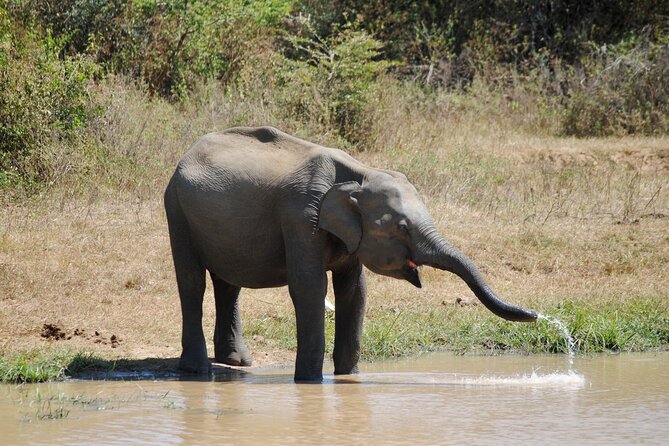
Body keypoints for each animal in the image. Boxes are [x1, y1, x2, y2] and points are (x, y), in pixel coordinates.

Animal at [164, 126, 537, 382]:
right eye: (402, 227)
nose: (536, 315)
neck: (360, 174)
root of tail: (189, 151)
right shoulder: (300, 217)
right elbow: (310, 287)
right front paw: (310, 382)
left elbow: (354, 291)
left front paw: (349, 378)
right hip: (176, 209)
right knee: (192, 282)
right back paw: (197, 370)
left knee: (230, 285)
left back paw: (238, 362)